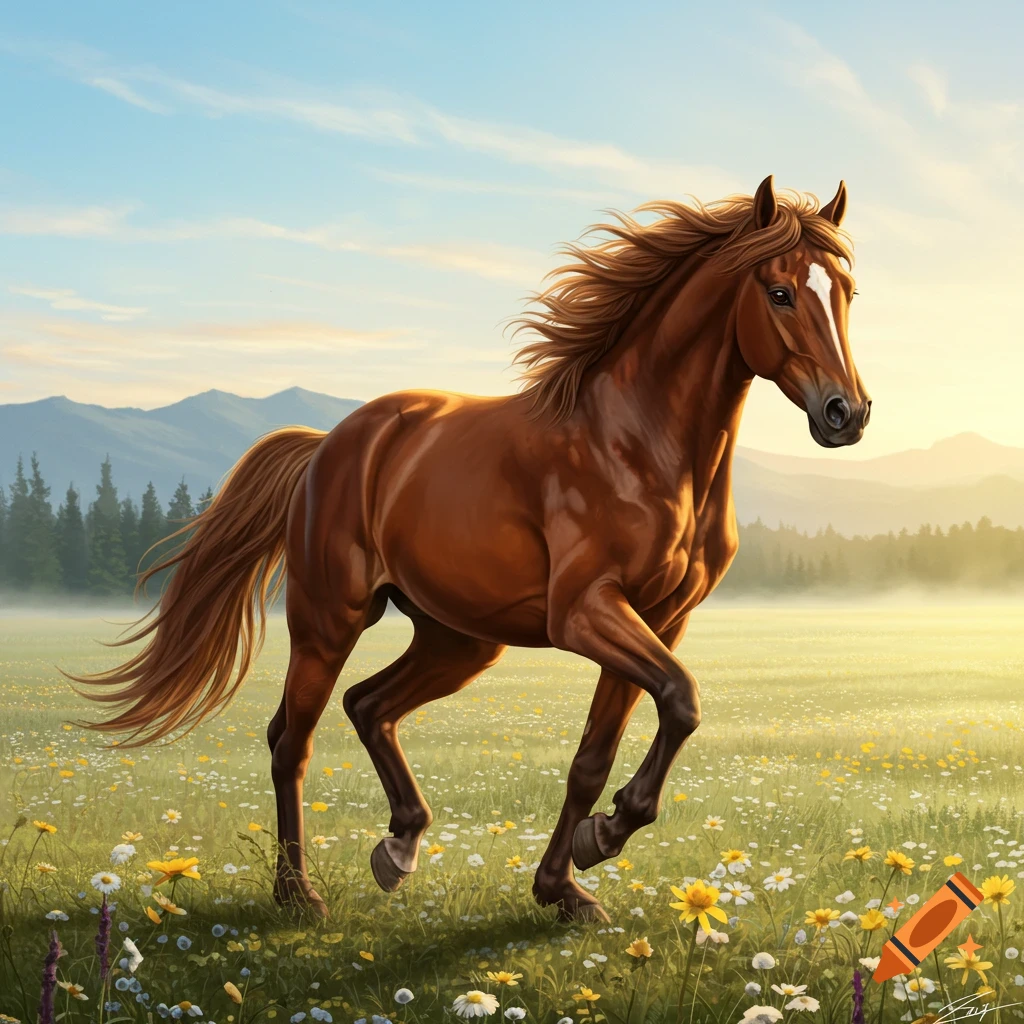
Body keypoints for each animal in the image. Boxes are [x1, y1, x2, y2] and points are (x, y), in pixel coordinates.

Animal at [71, 174, 871, 922]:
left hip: (458, 639)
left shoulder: (660, 619)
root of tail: (328, 444)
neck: (637, 442)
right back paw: (299, 894)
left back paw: (398, 847)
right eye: (778, 292)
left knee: (367, 705)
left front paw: (567, 886)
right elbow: (681, 699)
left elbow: (599, 752)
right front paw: (602, 839)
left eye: (848, 293)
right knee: (290, 739)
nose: (847, 413)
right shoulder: (586, 613)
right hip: (330, 619)